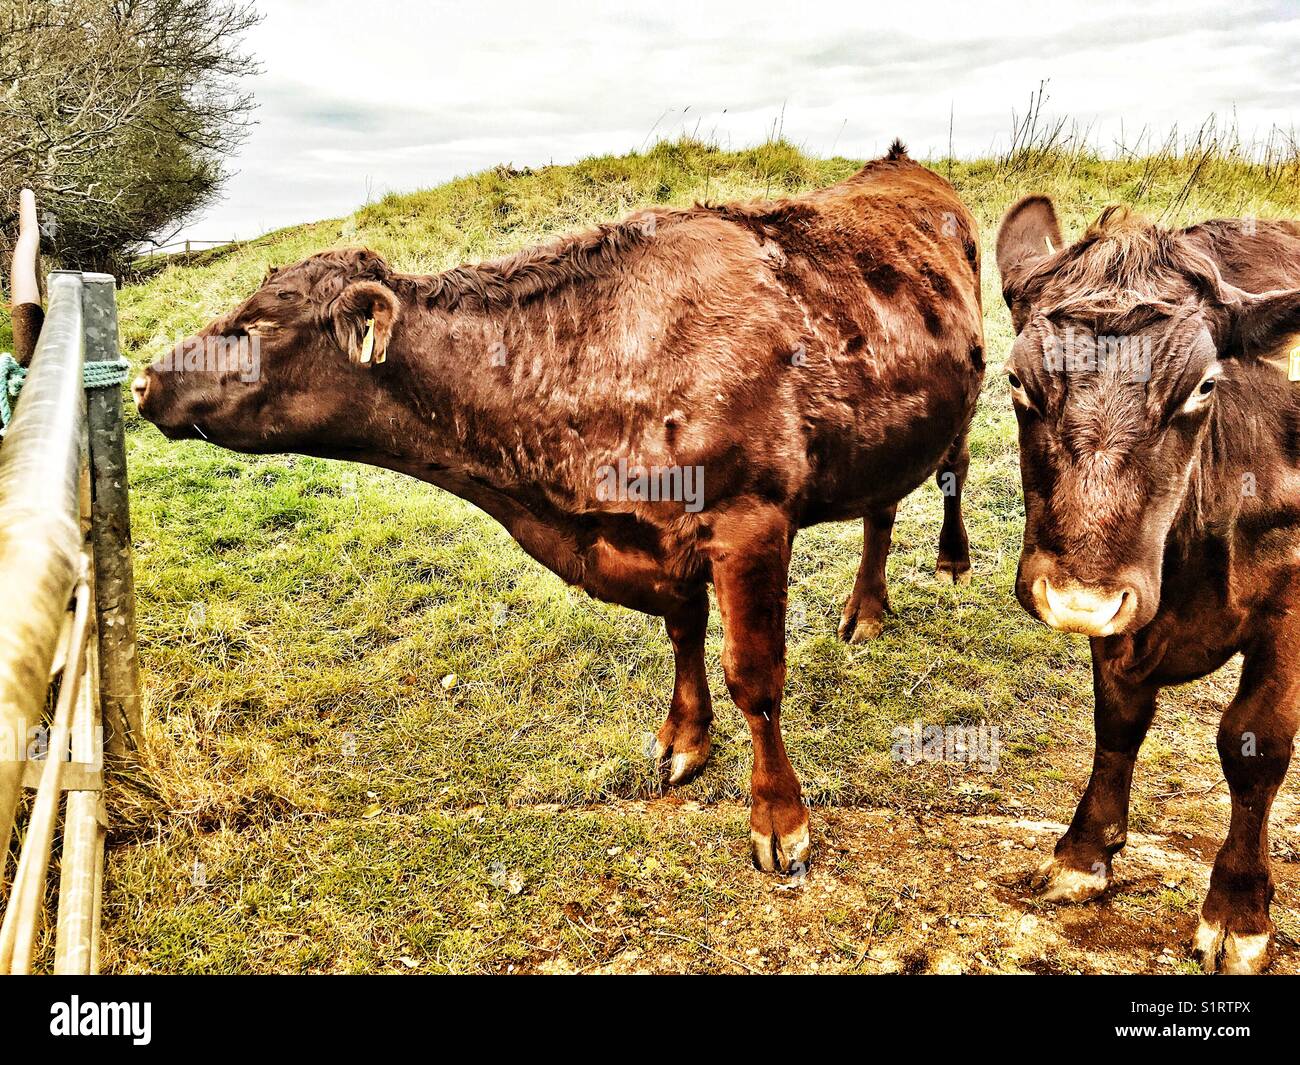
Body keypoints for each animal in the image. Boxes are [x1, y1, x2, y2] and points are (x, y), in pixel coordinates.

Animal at [134, 143, 982, 873]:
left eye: (255, 327)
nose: (142, 380)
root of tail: (900, 166)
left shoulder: (750, 524)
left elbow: (756, 677)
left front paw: (779, 818)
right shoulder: (658, 537)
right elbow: (684, 633)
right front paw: (684, 739)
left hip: (964, 403)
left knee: (949, 475)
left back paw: (948, 562)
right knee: (881, 507)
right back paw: (866, 608)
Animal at [993, 200, 1300, 972]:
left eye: (1204, 386)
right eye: (1017, 380)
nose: (1074, 601)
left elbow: (1256, 743)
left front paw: (1240, 910)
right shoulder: (1123, 605)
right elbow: (1119, 719)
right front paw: (1082, 854)